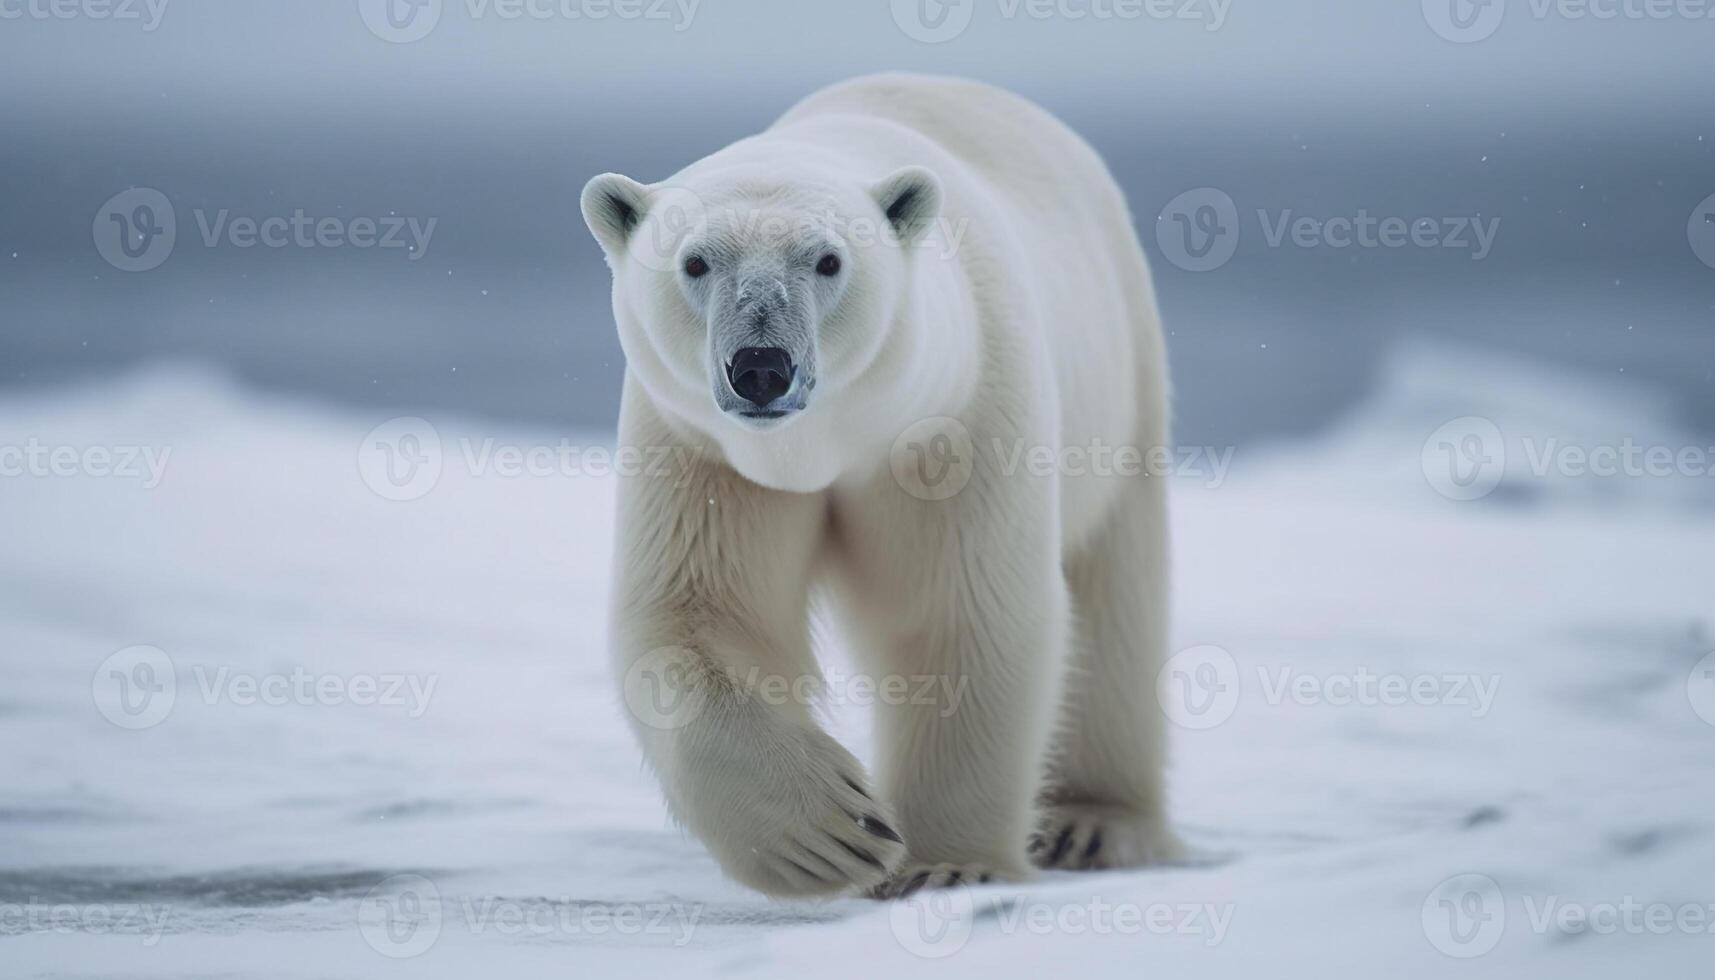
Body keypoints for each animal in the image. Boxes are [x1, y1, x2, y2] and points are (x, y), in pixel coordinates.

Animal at [579, 70, 1179, 899]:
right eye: (695, 262)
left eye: (828, 261)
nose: (760, 367)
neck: (828, 448)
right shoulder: (702, 454)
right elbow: (696, 618)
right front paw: (828, 833)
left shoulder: (954, 424)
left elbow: (961, 614)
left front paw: (947, 864)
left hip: (1123, 383)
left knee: (1116, 596)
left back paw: (1093, 824)